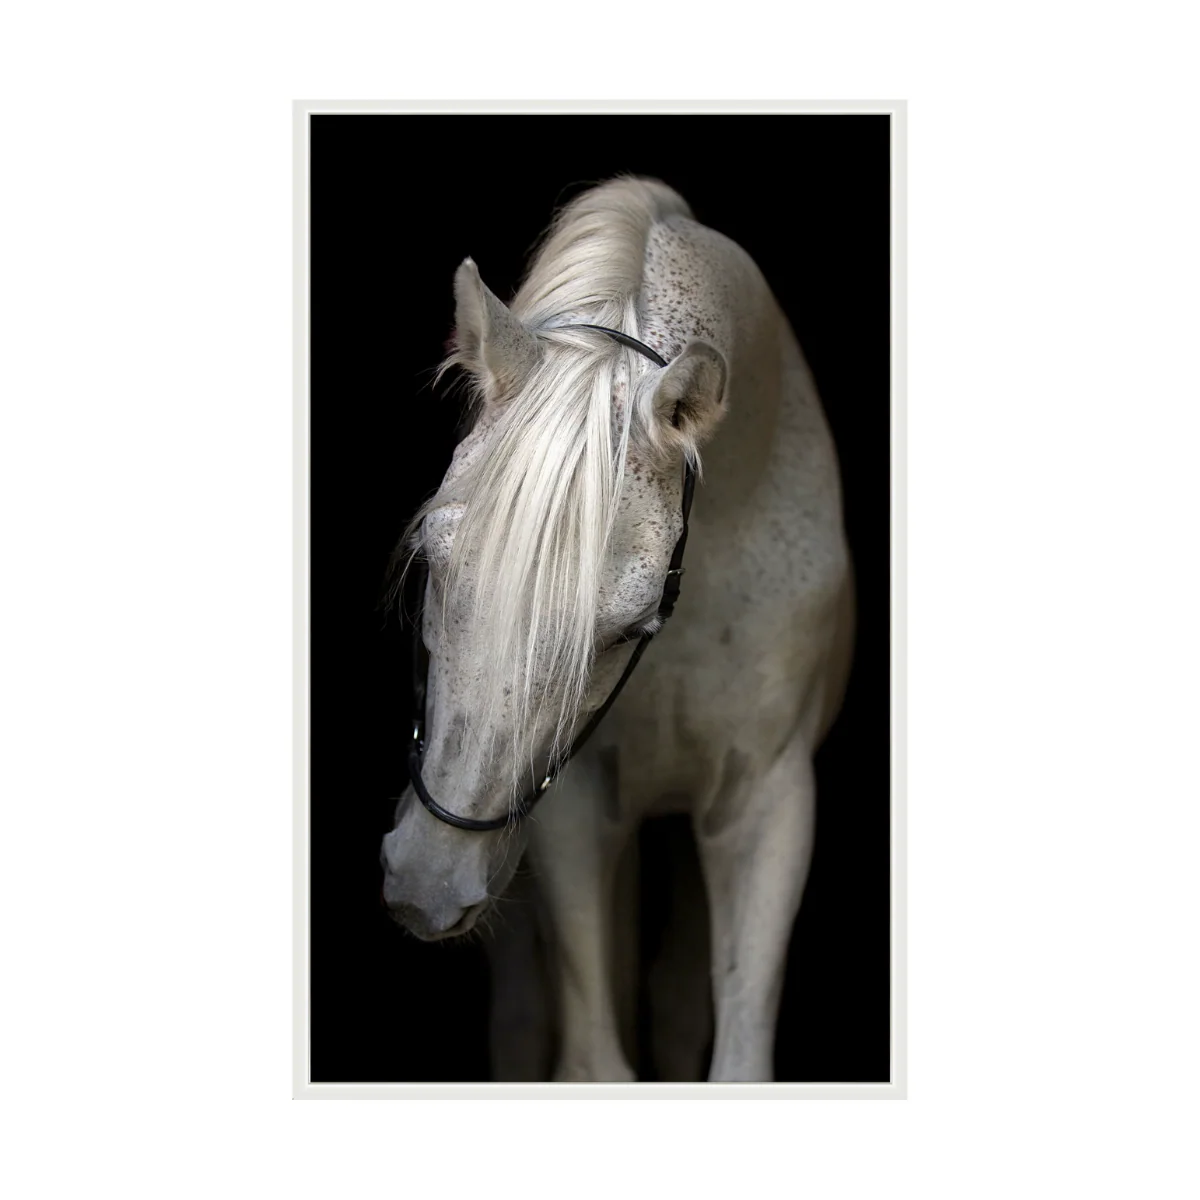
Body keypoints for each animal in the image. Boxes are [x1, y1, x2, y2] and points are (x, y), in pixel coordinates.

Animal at [380, 176, 854, 1082]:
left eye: (632, 624)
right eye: (431, 560)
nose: (427, 880)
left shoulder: (768, 801)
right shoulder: (574, 804)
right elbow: (595, 1057)